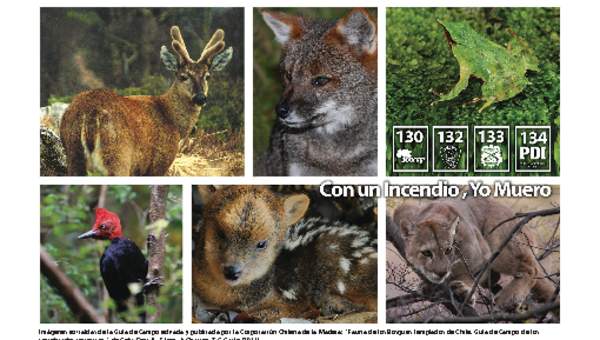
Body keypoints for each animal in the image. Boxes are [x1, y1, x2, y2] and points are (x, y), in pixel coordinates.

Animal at [59, 24, 232, 175]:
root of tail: (90, 113)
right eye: (184, 76)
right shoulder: (160, 162)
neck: (173, 121)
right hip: (118, 156)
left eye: (207, 77)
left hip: (73, 155)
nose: (201, 97)